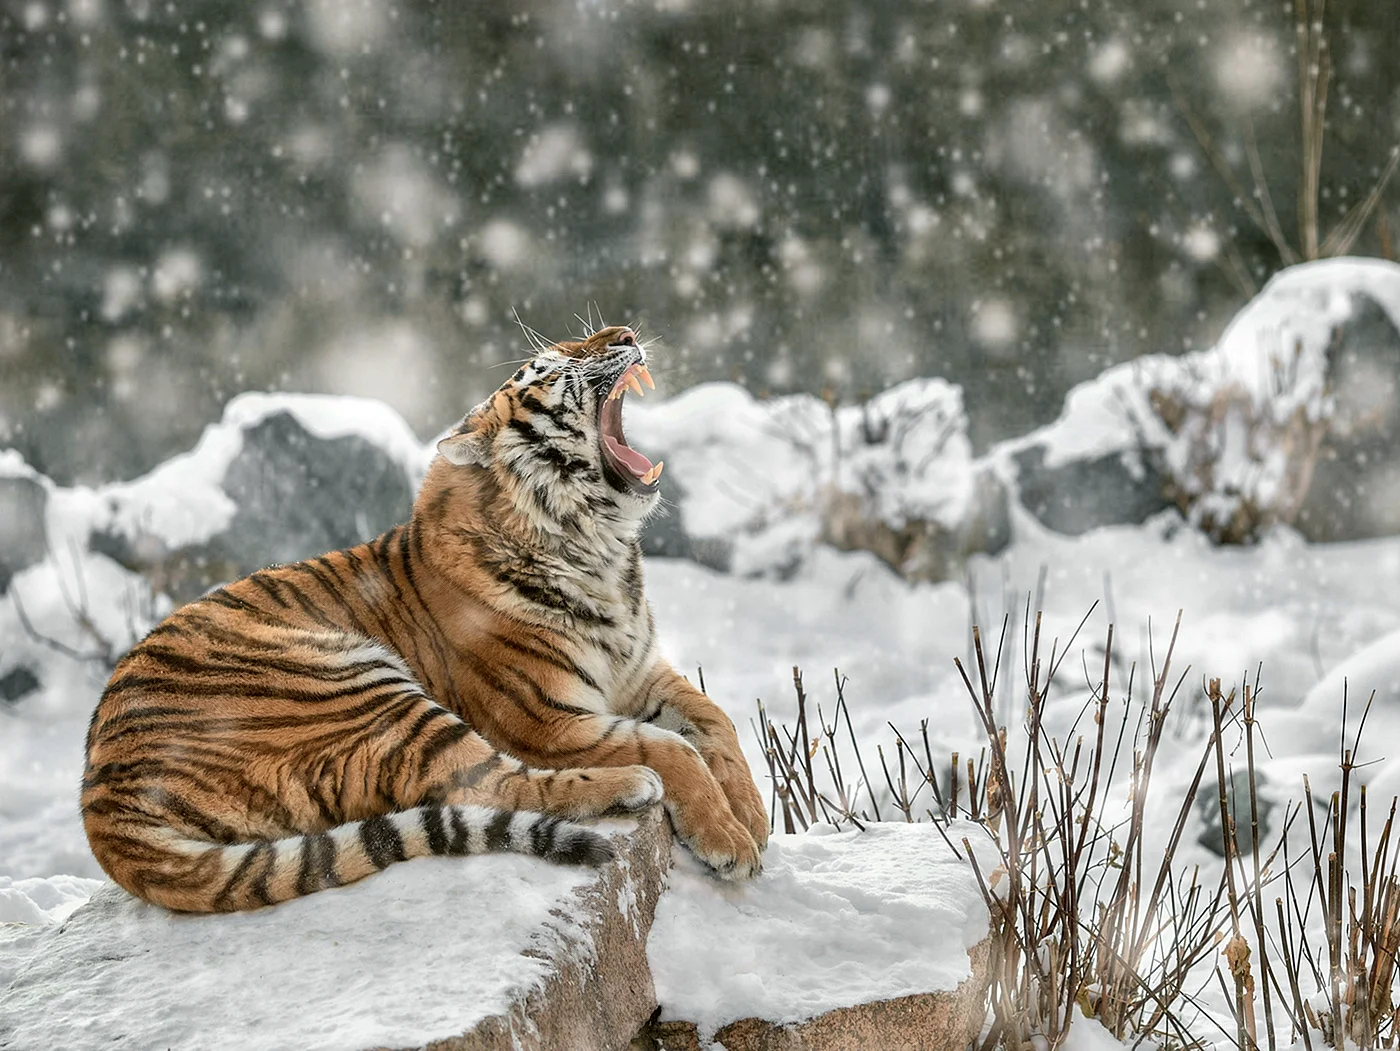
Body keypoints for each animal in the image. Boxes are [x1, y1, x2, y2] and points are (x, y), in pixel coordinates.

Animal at [81, 324, 769, 913]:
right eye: (549, 368)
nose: (625, 332)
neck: (600, 553)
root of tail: (100, 803)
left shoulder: (641, 671)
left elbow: (716, 720)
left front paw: (754, 816)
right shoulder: (545, 718)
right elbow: (672, 746)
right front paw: (731, 841)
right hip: (355, 684)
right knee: (488, 783)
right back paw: (630, 784)